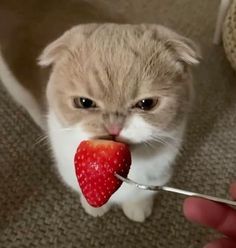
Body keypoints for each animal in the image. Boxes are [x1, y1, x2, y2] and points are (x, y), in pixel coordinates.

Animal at [0, 0, 199, 221]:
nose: (113, 127)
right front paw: (94, 207)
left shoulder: (157, 176)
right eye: (84, 102)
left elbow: (142, 193)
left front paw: (137, 208)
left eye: (146, 103)